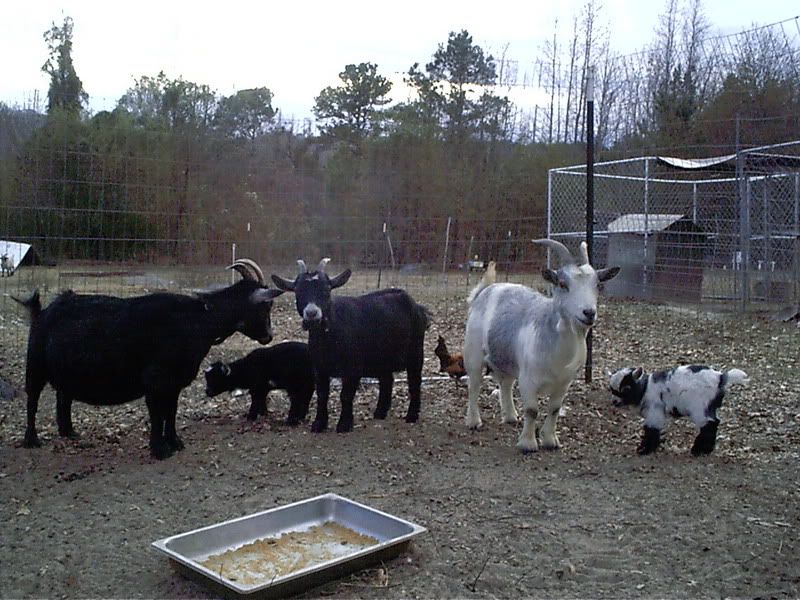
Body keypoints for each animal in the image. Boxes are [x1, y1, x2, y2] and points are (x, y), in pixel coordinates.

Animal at [13, 259, 283, 459]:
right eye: (266, 306)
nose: (269, 336)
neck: (198, 320)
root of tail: (42, 312)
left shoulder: (175, 383)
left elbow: (171, 411)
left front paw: (175, 442)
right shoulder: (155, 381)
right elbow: (157, 413)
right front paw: (160, 449)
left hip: (64, 372)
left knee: (63, 397)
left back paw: (69, 432)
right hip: (35, 366)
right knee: (32, 400)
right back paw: (31, 439)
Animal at [272, 258, 430, 433]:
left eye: (327, 290)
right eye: (298, 291)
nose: (312, 313)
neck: (329, 337)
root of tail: (417, 307)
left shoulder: (352, 368)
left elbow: (346, 395)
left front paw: (344, 424)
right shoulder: (319, 368)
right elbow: (322, 395)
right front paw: (319, 424)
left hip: (416, 350)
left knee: (414, 381)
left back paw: (411, 416)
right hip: (382, 357)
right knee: (387, 379)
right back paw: (380, 413)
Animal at [463, 239, 619, 452]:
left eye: (597, 285)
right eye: (562, 284)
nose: (589, 313)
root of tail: (485, 291)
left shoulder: (564, 382)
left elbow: (554, 409)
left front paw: (550, 441)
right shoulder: (528, 379)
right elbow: (532, 410)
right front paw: (528, 444)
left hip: (507, 358)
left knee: (506, 383)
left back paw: (511, 416)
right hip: (473, 352)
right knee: (474, 384)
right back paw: (473, 421)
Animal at [608, 365, 750, 455]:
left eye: (626, 389)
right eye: (611, 390)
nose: (614, 402)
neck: (645, 388)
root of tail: (721, 377)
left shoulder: (654, 411)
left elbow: (651, 429)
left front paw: (644, 449)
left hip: (699, 407)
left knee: (710, 424)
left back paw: (698, 450)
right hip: (708, 406)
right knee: (714, 422)